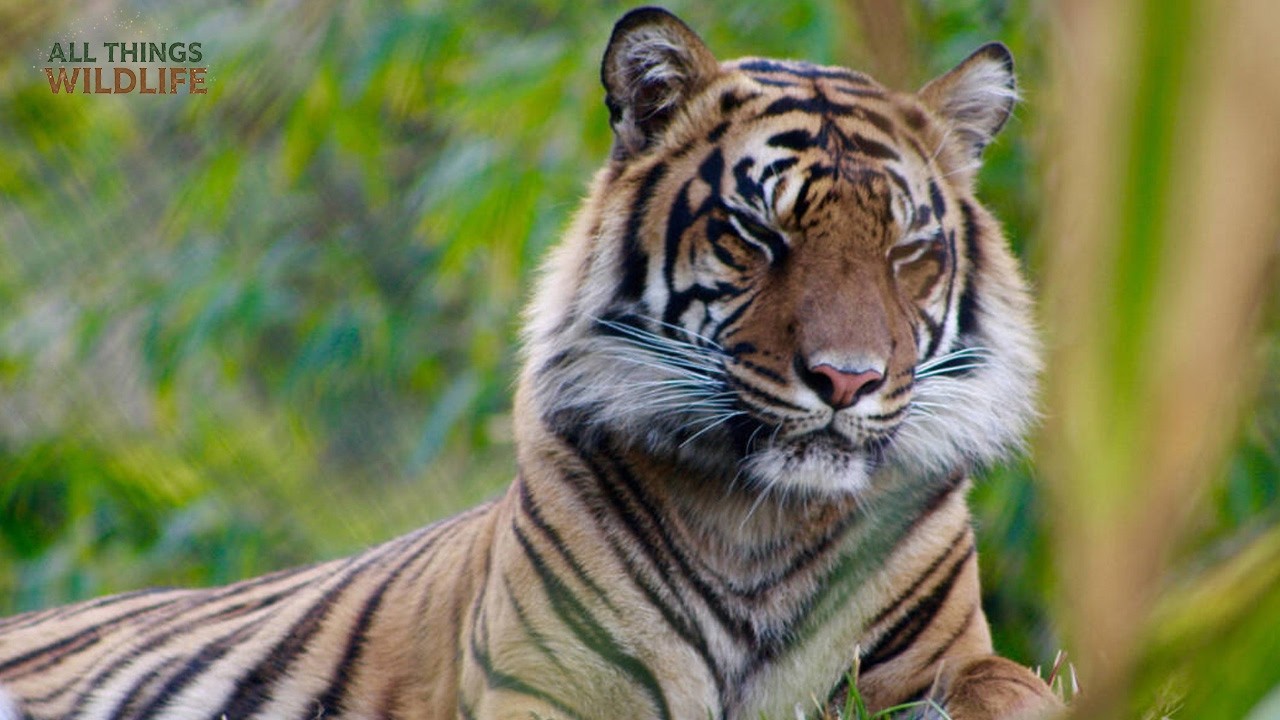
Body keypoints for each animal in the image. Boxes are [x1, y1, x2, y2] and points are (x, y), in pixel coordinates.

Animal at [0, 7, 1061, 720]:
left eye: (906, 251)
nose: (847, 380)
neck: (763, 521)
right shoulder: (550, 689)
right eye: (757, 234)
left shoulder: (944, 655)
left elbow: (1014, 689)